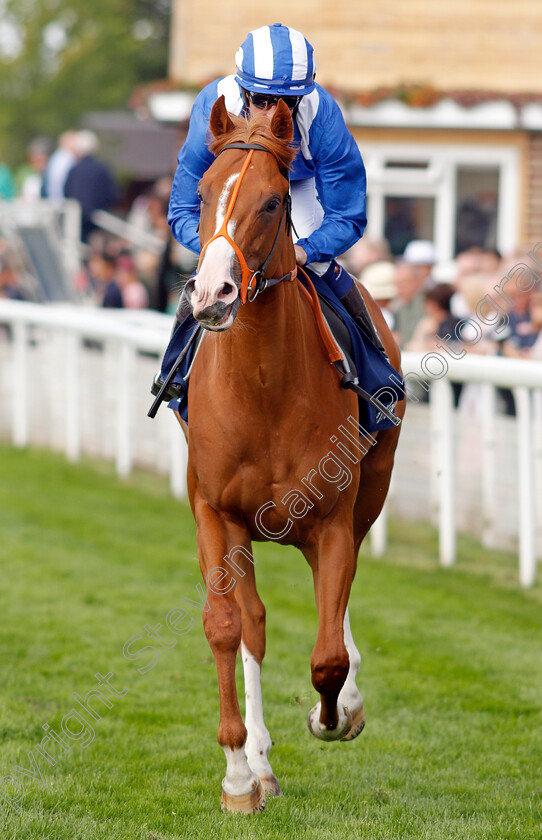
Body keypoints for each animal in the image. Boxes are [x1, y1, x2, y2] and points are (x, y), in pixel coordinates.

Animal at [174, 98, 408, 812]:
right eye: (202, 192)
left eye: (274, 201)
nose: (213, 294)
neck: (263, 389)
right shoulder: (214, 511)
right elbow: (229, 625)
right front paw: (238, 773)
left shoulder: (330, 520)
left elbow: (328, 654)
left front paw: (336, 715)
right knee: (253, 622)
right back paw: (259, 760)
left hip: (365, 495)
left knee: (340, 604)